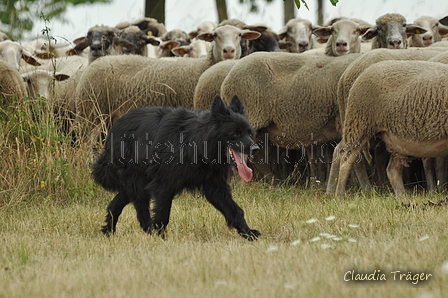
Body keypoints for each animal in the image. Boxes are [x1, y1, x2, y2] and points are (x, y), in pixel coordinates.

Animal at [75, 25, 260, 136]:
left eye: (240, 35)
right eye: (215, 36)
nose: (228, 51)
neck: (202, 67)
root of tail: (95, 62)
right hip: (90, 115)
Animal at [90, 95, 260, 240]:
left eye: (249, 132)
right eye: (235, 133)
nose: (256, 148)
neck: (195, 143)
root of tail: (113, 130)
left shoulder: (215, 186)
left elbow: (235, 210)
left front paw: (248, 233)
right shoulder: (164, 185)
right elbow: (162, 214)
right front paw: (160, 237)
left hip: (139, 183)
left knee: (115, 204)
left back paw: (108, 231)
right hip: (137, 180)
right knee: (141, 210)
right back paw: (148, 231)